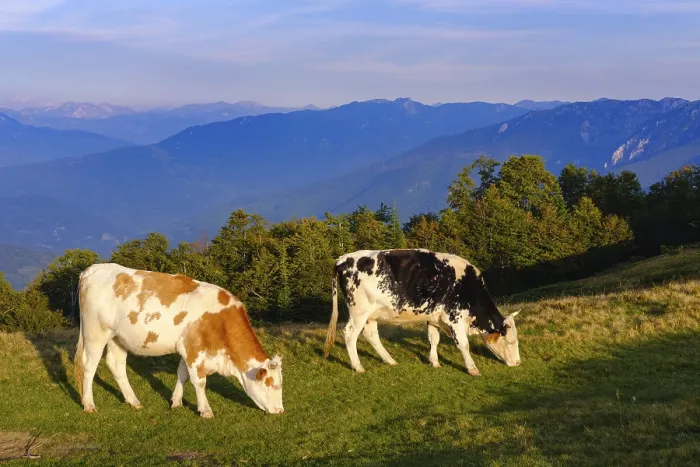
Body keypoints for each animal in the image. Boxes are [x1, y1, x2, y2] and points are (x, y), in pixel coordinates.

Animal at [74, 263, 284, 418]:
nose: (280, 410)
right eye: (271, 384)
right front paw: (205, 410)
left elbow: (182, 374)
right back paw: (89, 404)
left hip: (117, 337)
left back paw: (134, 401)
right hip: (95, 332)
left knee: (115, 364)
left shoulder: (186, 347)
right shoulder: (194, 349)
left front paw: (176, 402)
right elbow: (199, 381)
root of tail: (92, 269)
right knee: (89, 365)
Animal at [323, 248, 521, 375]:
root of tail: (343, 259)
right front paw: (472, 368)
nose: (518, 363)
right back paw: (358, 366)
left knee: (371, 335)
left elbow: (434, 339)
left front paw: (434, 362)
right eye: (510, 341)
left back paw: (389, 360)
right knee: (350, 334)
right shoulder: (454, 318)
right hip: (359, 311)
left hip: (370, 314)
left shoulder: (434, 317)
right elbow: (463, 344)